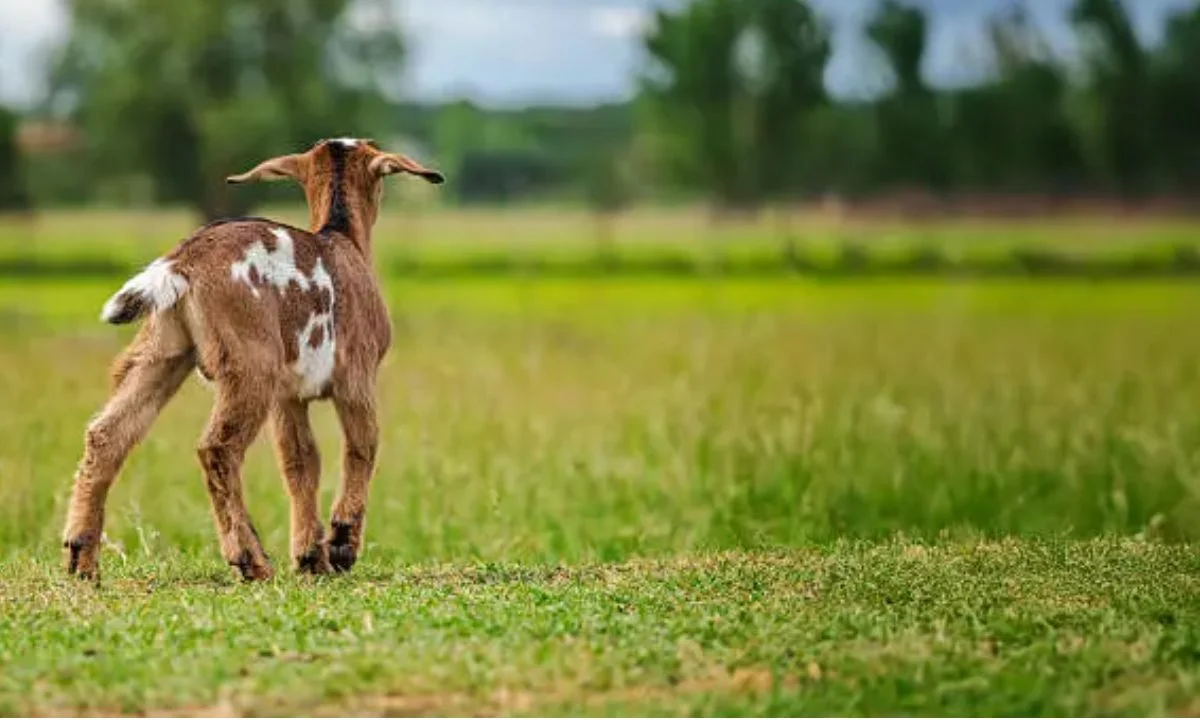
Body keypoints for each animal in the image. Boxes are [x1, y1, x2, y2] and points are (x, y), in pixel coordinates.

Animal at [62, 138, 445, 581]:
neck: (343, 240)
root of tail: (181, 262)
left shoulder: (288, 395)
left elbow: (300, 461)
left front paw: (311, 557)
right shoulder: (357, 375)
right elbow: (361, 446)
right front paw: (340, 547)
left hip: (162, 352)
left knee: (107, 434)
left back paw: (81, 558)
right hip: (250, 364)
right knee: (217, 448)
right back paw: (251, 559)